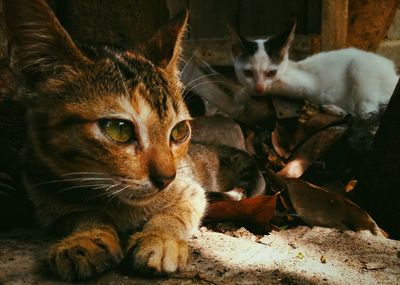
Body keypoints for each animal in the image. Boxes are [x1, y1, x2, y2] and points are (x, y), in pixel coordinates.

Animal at [4, 0, 208, 280]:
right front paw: (88, 238)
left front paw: (160, 238)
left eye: (179, 131)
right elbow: (84, 213)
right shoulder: (45, 200)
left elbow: (176, 212)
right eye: (119, 129)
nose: (166, 178)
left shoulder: (191, 187)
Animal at [230, 21, 398, 114]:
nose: (259, 88)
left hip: (361, 68)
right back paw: (335, 109)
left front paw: (241, 96)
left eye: (272, 72)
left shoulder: (306, 85)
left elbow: (275, 85)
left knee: (366, 110)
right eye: (248, 72)